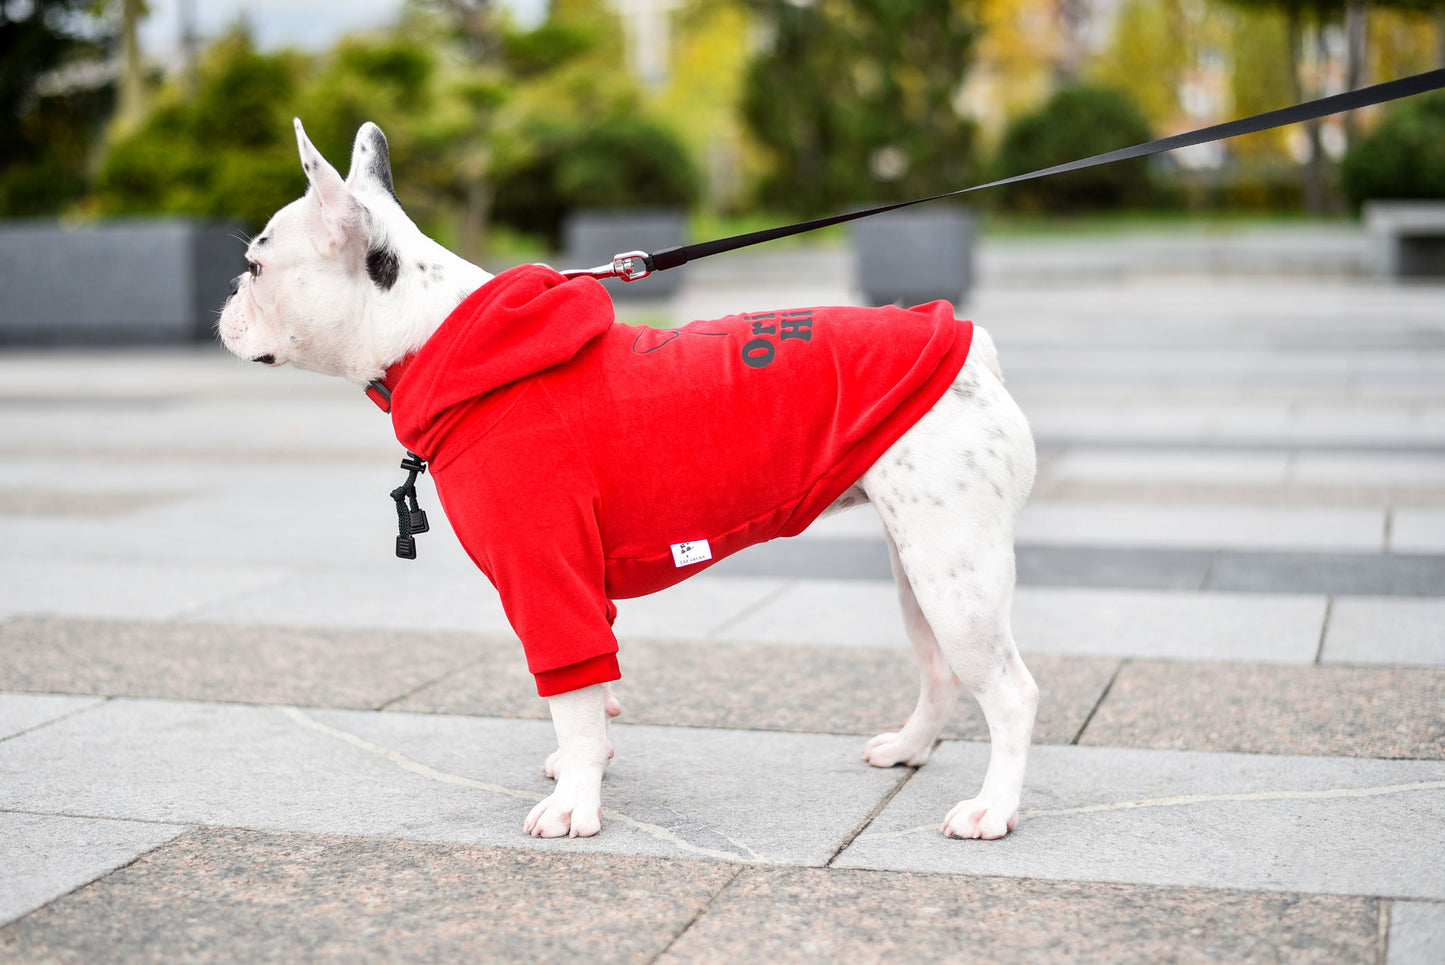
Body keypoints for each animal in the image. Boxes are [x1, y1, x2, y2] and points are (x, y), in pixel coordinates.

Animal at [216, 120, 1040, 837]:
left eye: (256, 266)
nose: (227, 297)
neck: (431, 335)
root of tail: (971, 347)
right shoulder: (578, 575)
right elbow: (595, 691)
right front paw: (586, 767)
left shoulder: (547, 572)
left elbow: (571, 690)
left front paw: (575, 805)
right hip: (923, 566)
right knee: (940, 669)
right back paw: (909, 748)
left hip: (953, 573)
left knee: (1009, 692)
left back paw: (991, 809)